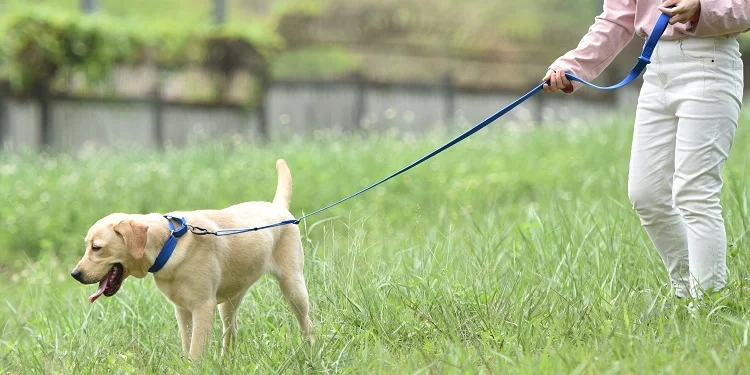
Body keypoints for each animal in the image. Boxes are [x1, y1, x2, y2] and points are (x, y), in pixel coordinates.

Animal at [72, 160, 312, 360]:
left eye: (96, 248)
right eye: (87, 246)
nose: (75, 274)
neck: (168, 243)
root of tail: (278, 207)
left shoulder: (202, 308)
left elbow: (196, 350)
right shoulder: (182, 310)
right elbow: (187, 345)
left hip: (293, 287)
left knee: (306, 323)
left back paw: (310, 350)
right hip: (229, 301)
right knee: (231, 331)